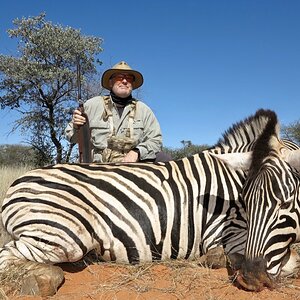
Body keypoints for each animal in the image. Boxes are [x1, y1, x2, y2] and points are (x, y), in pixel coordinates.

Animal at [0, 108, 298, 296]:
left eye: (285, 204)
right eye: (245, 204)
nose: (253, 279)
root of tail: (15, 183)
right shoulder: (224, 234)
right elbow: (290, 262)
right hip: (65, 236)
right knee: (8, 254)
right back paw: (43, 279)